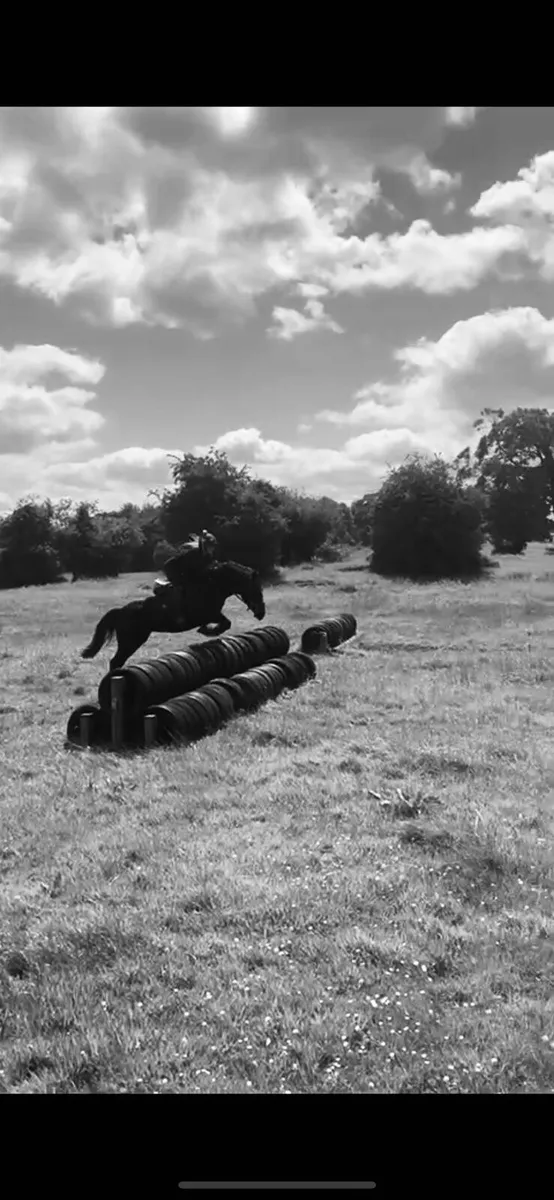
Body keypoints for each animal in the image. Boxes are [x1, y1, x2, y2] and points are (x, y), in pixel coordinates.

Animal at [80, 561, 266, 671]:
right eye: (256, 589)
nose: (261, 613)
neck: (213, 584)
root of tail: (120, 611)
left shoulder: (211, 614)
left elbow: (225, 622)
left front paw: (207, 630)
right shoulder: (206, 614)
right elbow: (226, 622)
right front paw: (208, 631)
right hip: (131, 641)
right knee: (115, 661)